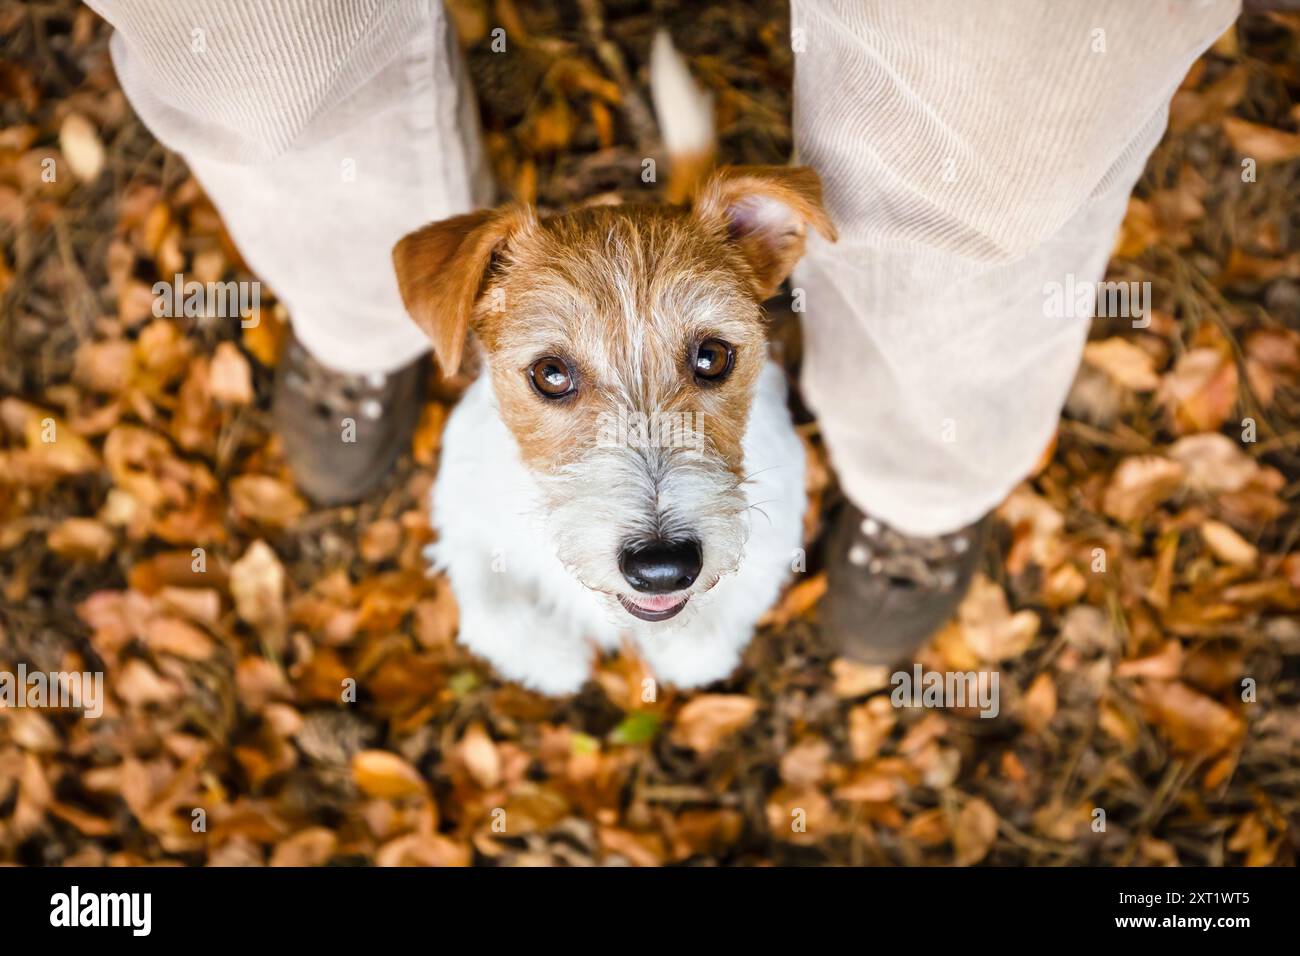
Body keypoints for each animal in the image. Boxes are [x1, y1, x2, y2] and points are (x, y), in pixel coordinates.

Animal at [392, 31, 832, 697]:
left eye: (712, 357)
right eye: (550, 374)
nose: (663, 567)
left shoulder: (776, 528)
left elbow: (720, 619)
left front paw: (690, 652)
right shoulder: (462, 523)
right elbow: (496, 610)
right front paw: (554, 661)